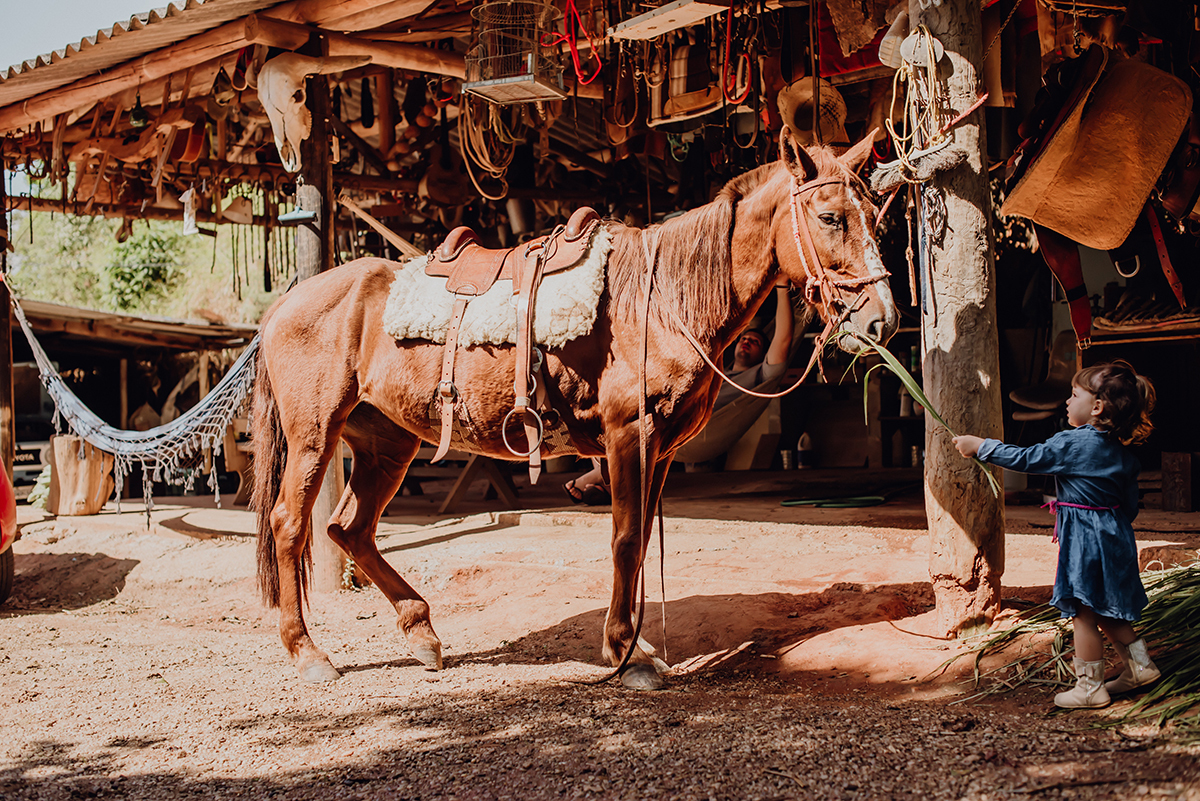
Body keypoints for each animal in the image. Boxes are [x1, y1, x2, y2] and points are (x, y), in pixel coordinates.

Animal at [252, 130, 899, 688]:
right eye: (830, 217)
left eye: (876, 216)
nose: (883, 320)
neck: (661, 302)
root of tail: (285, 304)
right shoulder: (629, 436)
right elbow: (625, 538)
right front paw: (625, 652)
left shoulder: (661, 450)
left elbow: (639, 540)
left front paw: (634, 643)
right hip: (315, 435)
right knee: (290, 524)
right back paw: (308, 653)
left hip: (387, 442)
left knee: (349, 528)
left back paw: (422, 632)